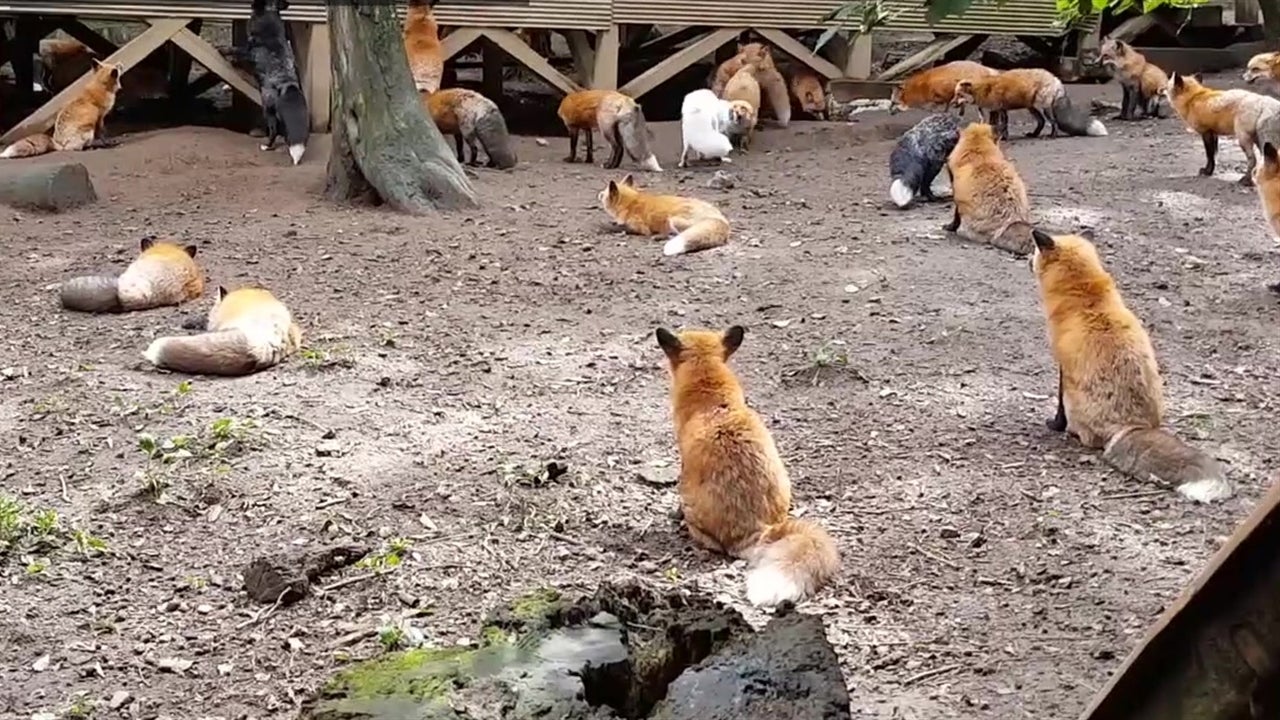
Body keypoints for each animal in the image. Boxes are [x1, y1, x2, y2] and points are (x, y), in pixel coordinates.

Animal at [598, 174, 729, 256]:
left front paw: (605, 228)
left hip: (673, 220)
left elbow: (617, 227)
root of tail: (721, 219)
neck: (631, 203)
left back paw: (661, 236)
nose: (599, 194)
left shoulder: (640, 228)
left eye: (604, 194)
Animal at [953, 69, 1107, 139]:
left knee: (1054, 122)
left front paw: (1003, 138)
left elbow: (1003, 126)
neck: (984, 88)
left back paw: (1052, 136)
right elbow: (995, 125)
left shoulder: (1000, 108)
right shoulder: (996, 110)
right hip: (1031, 108)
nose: (952, 103)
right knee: (1041, 122)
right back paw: (1034, 134)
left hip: (1045, 108)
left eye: (958, 95)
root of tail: (1056, 79)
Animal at [1030, 229, 1233, 503]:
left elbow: (1058, 408)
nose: (1027, 260)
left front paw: (1054, 425)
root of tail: (1135, 425)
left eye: (1034, 252)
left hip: (1076, 402)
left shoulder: (1064, 369)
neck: (1087, 299)